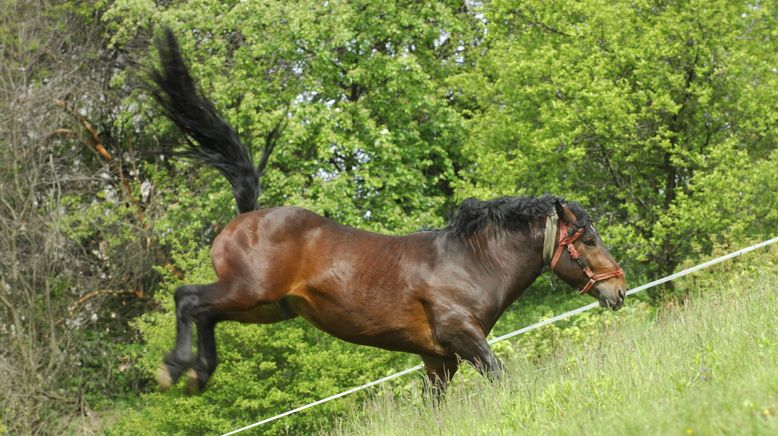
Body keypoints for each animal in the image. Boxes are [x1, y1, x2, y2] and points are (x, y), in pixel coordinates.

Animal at [150, 28, 624, 396]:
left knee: (206, 312)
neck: (470, 263)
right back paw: (175, 368)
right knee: (188, 298)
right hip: (249, 291)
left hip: (262, 308)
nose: (618, 290)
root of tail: (248, 215)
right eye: (588, 239)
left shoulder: (437, 359)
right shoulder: (462, 338)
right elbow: (497, 374)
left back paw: (197, 374)